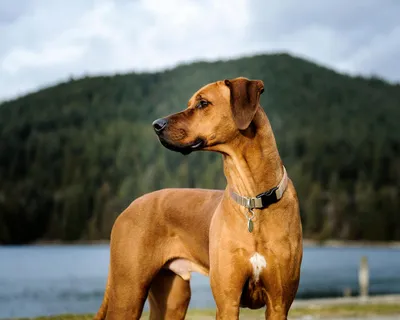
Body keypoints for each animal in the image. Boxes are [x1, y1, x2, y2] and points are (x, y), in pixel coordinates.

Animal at [95, 78, 304, 320]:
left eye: (203, 103)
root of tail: (130, 206)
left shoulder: (279, 303)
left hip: (173, 300)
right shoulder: (227, 302)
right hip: (128, 292)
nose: (156, 125)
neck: (253, 199)